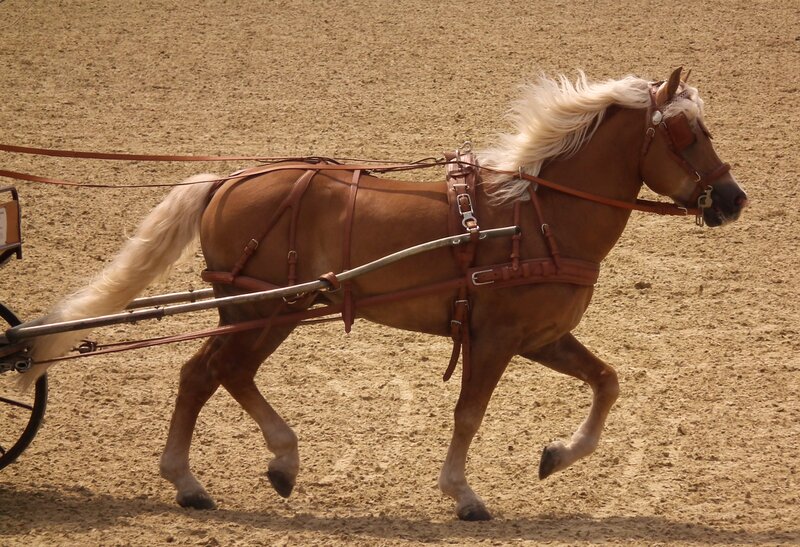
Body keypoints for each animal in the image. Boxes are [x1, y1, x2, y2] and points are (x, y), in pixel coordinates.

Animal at [24, 67, 747, 520]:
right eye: (687, 134)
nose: (734, 198)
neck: (535, 215)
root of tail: (229, 179)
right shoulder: (493, 339)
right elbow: (469, 414)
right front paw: (462, 494)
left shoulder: (541, 337)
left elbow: (607, 382)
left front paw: (556, 455)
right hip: (257, 306)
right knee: (202, 373)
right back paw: (191, 478)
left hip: (281, 309)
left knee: (227, 373)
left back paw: (279, 462)